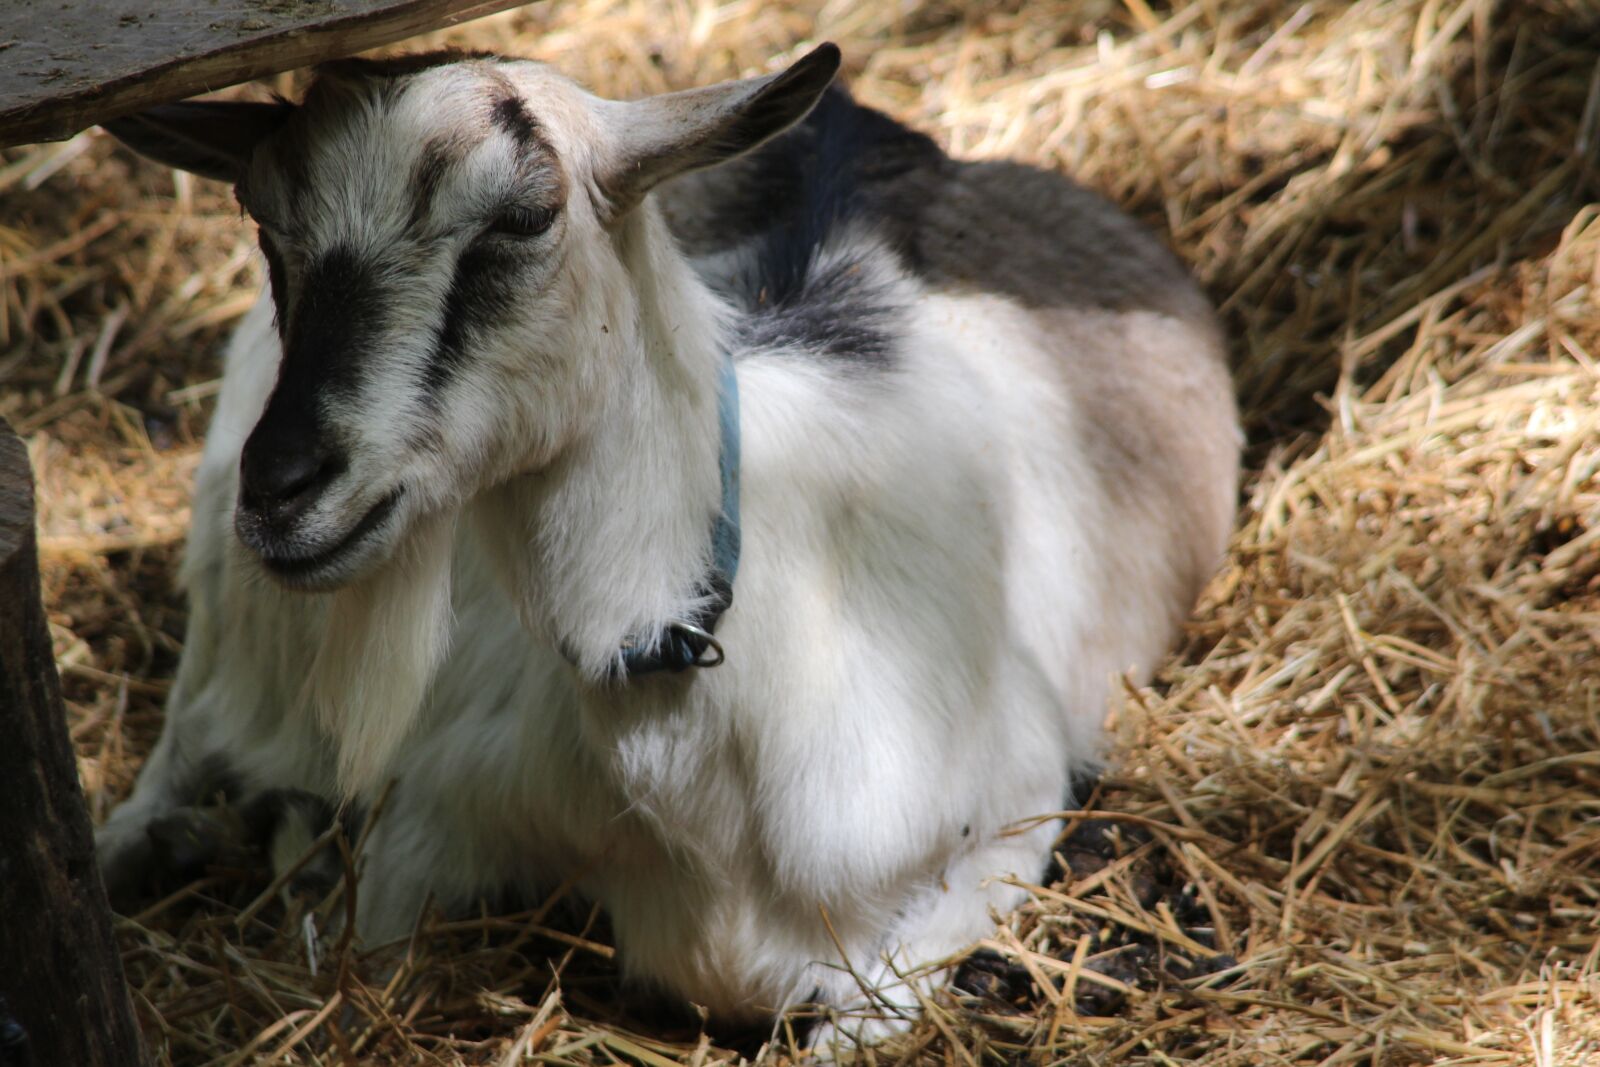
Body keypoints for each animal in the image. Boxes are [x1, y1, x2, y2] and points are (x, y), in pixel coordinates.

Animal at [96, 44, 1240, 1048]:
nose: (283, 489)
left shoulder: (1004, 825)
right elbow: (366, 954)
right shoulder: (428, 817)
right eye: (266, 227)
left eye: (524, 216)